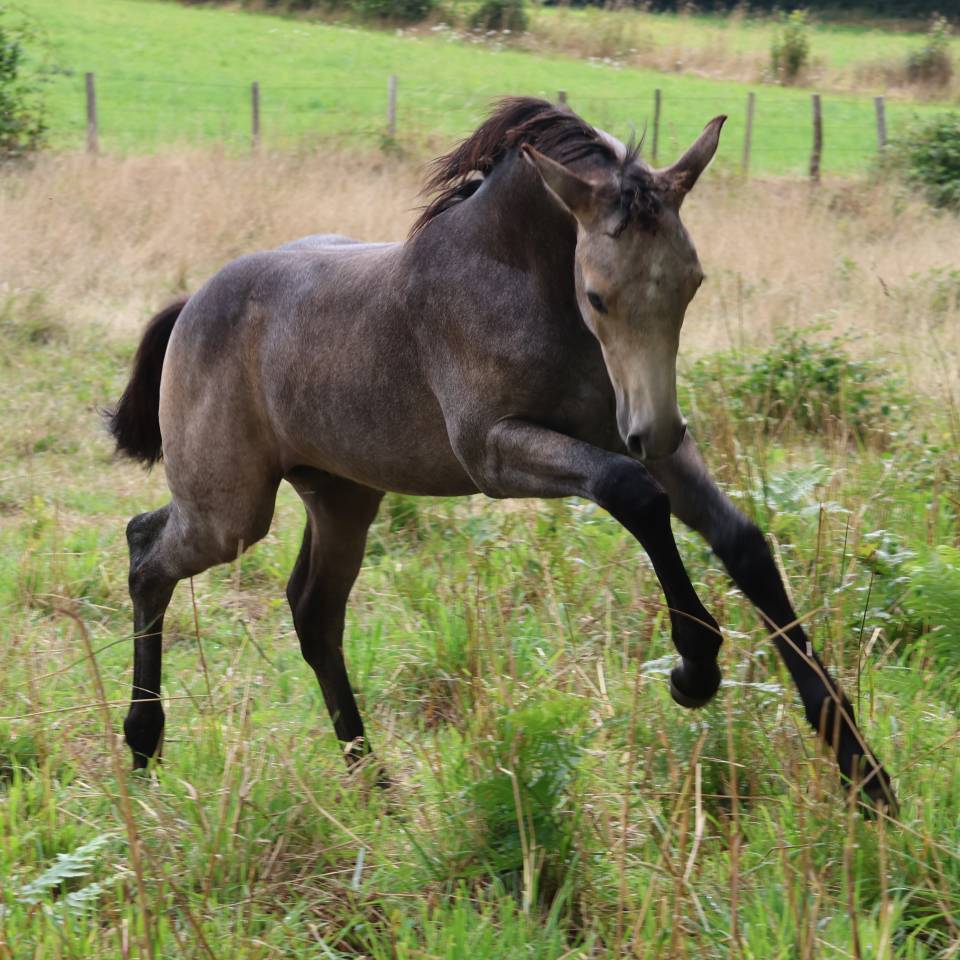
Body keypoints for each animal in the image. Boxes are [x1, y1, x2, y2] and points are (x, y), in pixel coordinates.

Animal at [108, 97, 895, 814]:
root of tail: (191, 303)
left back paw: (375, 786)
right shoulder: (494, 452)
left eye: (693, 282)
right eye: (597, 295)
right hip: (230, 512)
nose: (658, 428)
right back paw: (144, 746)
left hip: (342, 494)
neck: (522, 282)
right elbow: (632, 492)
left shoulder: (635, 433)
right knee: (147, 550)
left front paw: (864, 771)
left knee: (312, 611)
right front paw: (694, 669)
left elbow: (742, 543)